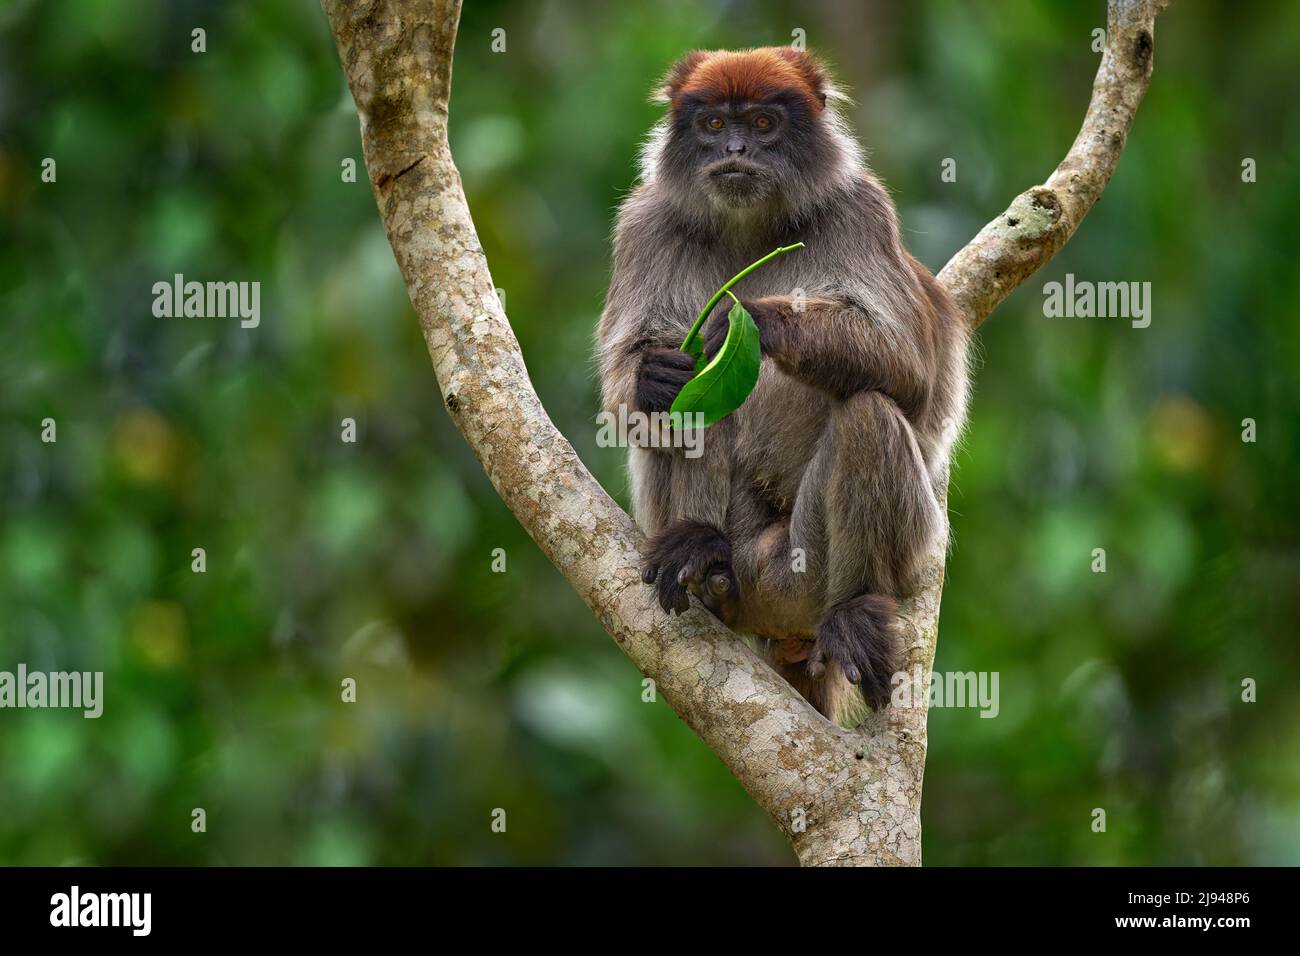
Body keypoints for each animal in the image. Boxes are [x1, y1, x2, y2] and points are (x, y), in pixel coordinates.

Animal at [595, 46, 967, 723]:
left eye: (765, 124)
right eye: (715, 125)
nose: (737, 148)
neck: (749, 227)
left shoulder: (861, 211)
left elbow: (910, 372)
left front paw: (749, 320)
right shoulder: (643, 224)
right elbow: (627, 398)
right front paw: (652, 375)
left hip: (797, 572)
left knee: (869, 415)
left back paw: (852, 612)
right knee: (690, 409)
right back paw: (702, 552)